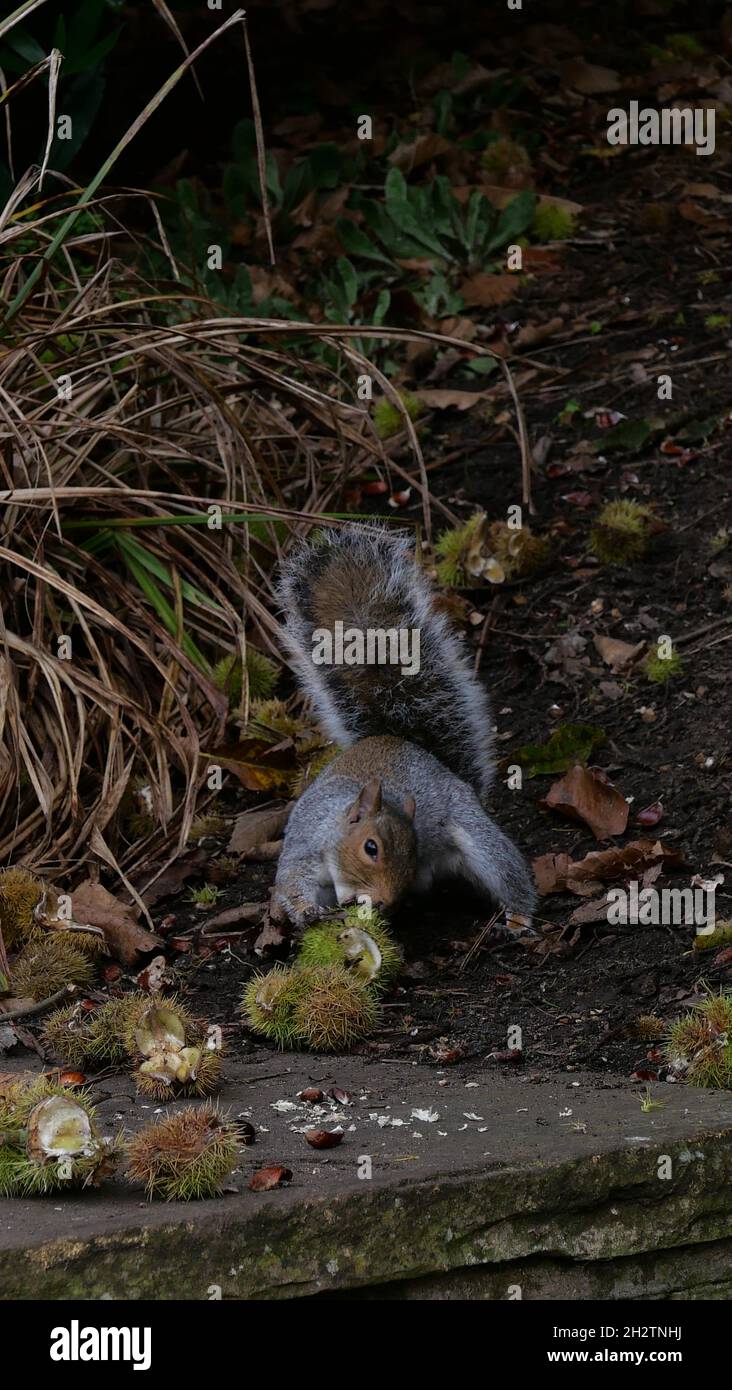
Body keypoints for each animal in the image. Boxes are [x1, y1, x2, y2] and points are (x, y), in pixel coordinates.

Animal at [271, 523, 537, 931]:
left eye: (413, 855)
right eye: (371, 848)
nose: (385, 900)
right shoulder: (304, 849)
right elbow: (291, 884)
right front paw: (305, 911)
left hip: (473, 831)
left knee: (505, 870)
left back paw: (519, 916)